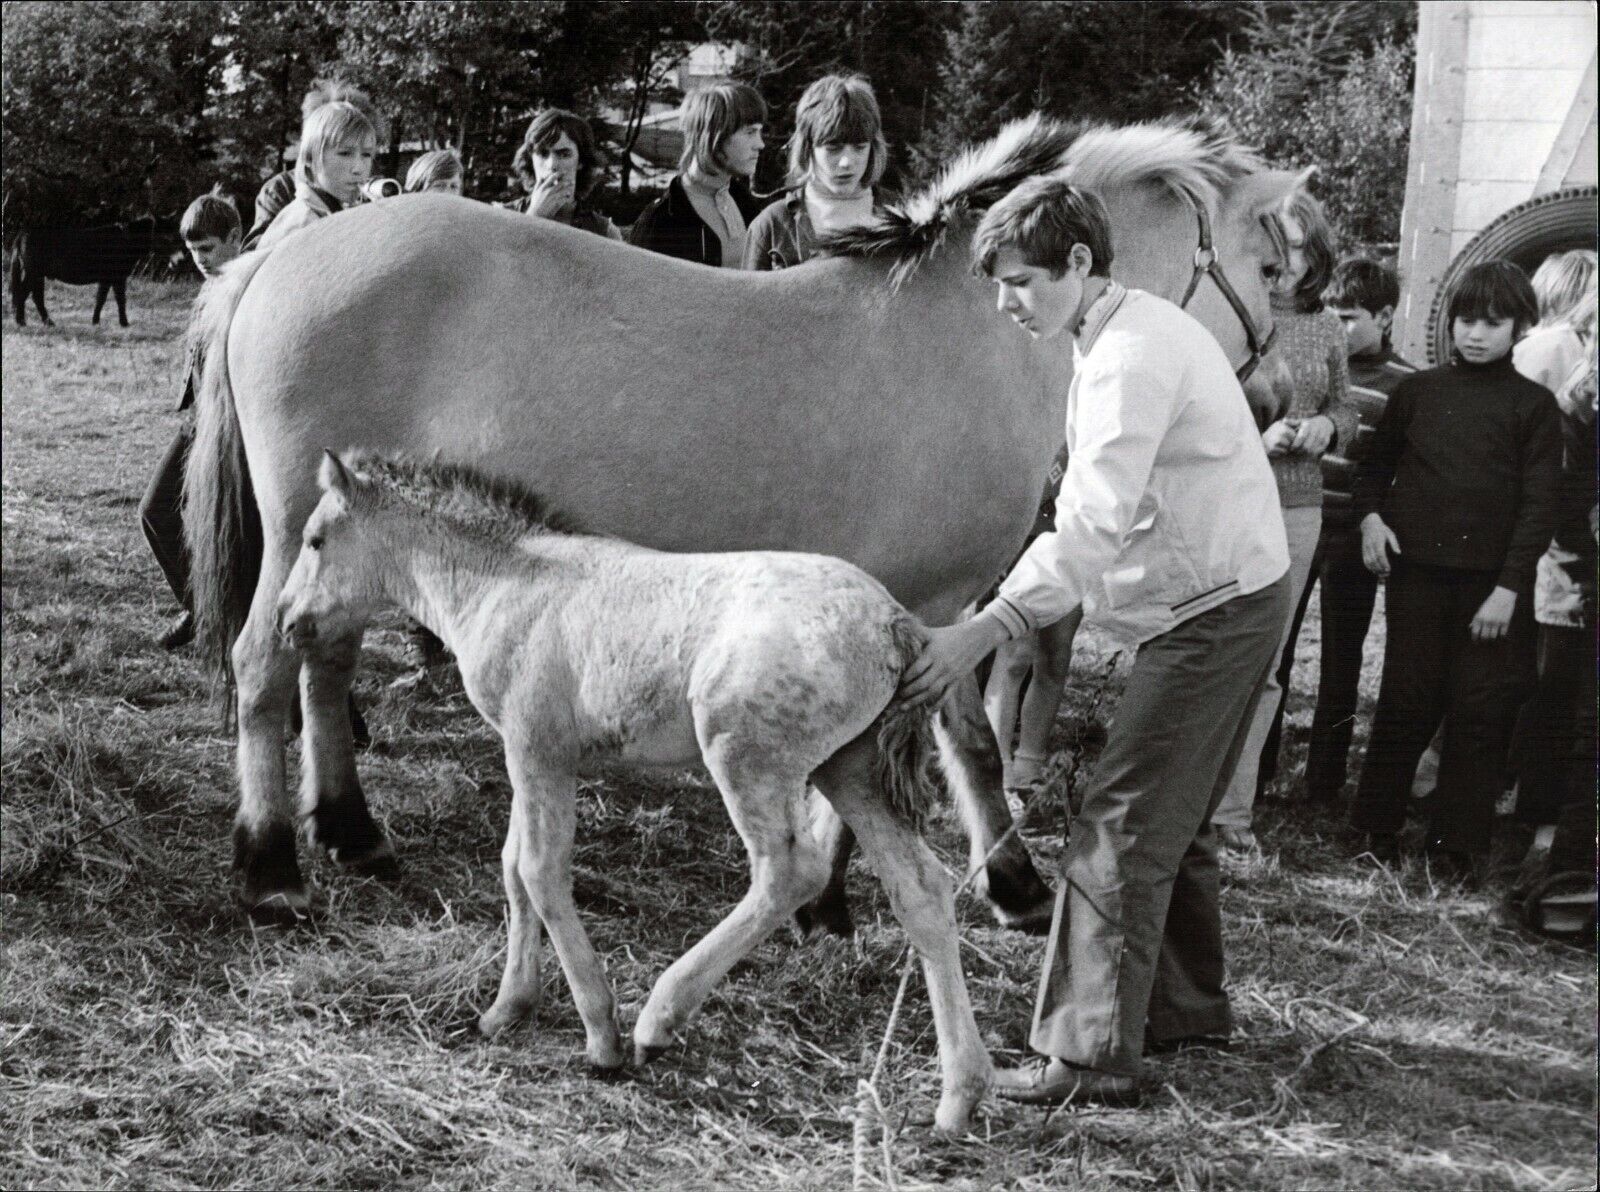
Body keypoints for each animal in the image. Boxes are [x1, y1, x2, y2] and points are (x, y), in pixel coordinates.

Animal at [10, 214, 160, 324]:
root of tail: (24, 231)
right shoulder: (118, 277)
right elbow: (120, 299)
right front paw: (124, 323)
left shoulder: (107, 279)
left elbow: (101, 298)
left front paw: (95, 321)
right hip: (33, 272)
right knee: (23, 293)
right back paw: (21, 322)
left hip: (37, 274)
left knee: (36, 296)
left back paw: (48, 322)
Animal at [187, 113, 1305, 921]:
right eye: (1273, 268)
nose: (1276, 404)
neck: (965, 343)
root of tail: (277, 259)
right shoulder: (931, 598)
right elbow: (919, 751)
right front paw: (842, 903)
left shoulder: (943, 609)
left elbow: (963, 746)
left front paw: (1009, 884)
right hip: (302, 533)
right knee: (264, 667)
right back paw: (271, 867)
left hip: (353, 542)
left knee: (323, 661)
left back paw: (352, 832)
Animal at [278, 451, 985, 1132]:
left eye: (315, 540)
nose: (286, 619)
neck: (504, 584)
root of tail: (897, 624)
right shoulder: (530, 758)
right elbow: (512, 867)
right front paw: (507, 1009)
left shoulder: (536, 750)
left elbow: (538, 870)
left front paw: (599, 1033)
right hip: (851, 767)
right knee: (921, 889)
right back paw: (959, 1097)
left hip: (747, 757)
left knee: (789, 873)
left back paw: (657, 1021)